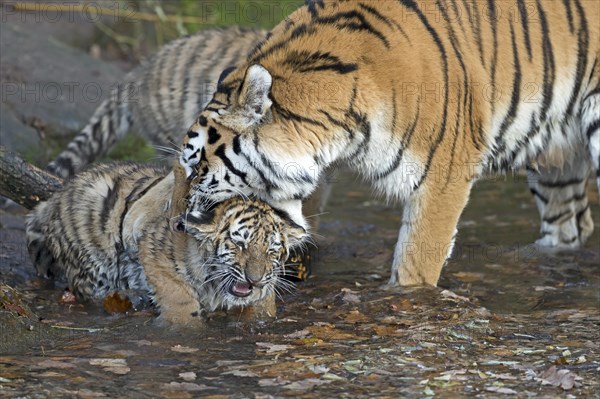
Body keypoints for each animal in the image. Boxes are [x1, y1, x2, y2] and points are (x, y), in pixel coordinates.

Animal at [179, 0, 600, 288]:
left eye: (197, 168)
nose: (179, 221)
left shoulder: (443, 178)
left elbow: (415, 264)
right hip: (556, 164)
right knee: (571, 226)